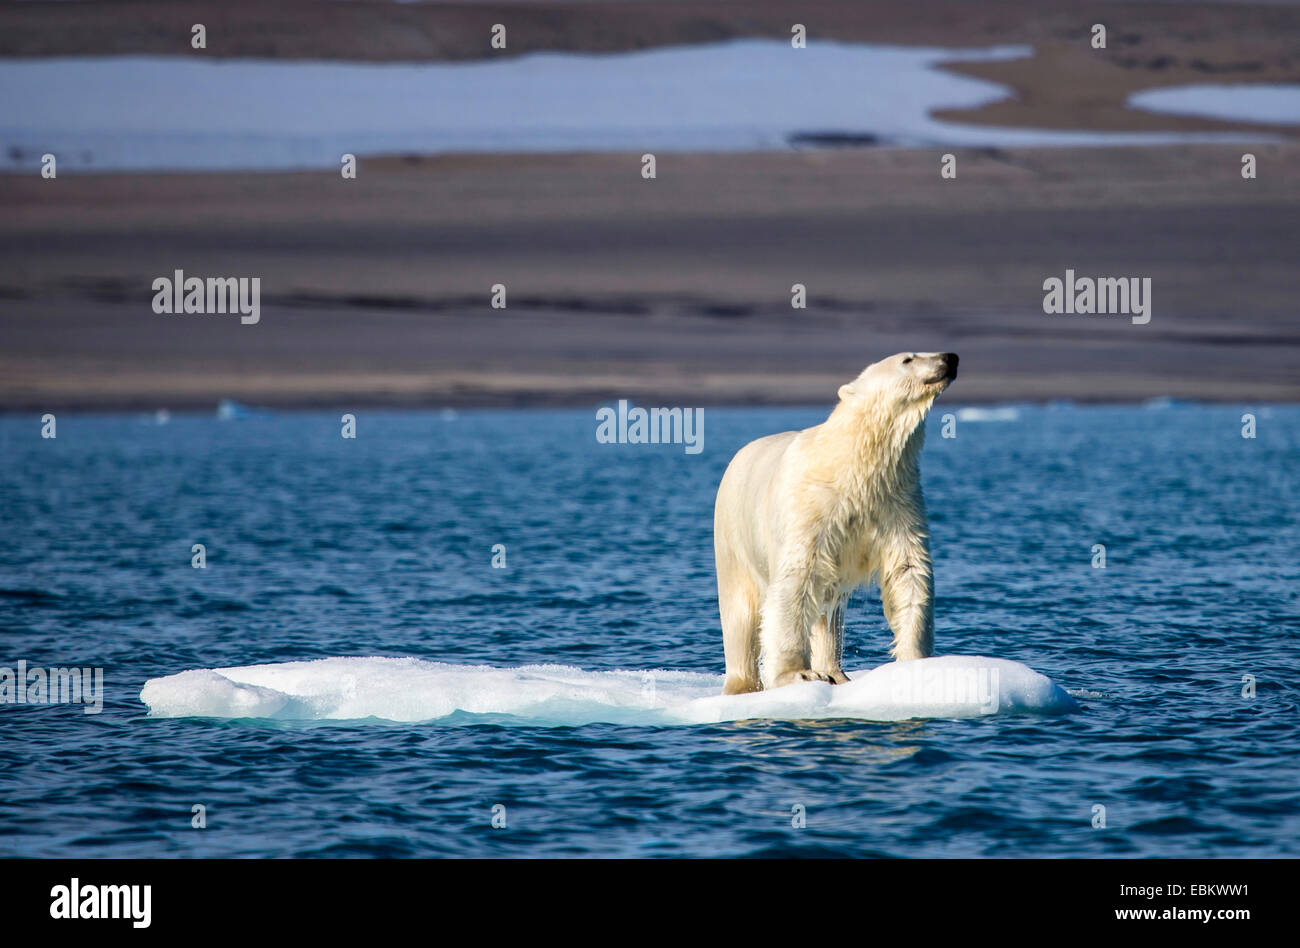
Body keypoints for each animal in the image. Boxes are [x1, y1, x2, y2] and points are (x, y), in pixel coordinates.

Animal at [712, 351, 956, 691]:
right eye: (908, 359)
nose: (950, 357)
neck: (853, 462)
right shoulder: (810, 508)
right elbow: (795, 580)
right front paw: (796, 673)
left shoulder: (897, 500)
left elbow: (908, 571)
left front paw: (913, 661)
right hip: (732, 535)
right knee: (740, 614)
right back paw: (742, 684)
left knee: (828, 613)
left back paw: (836, 672)